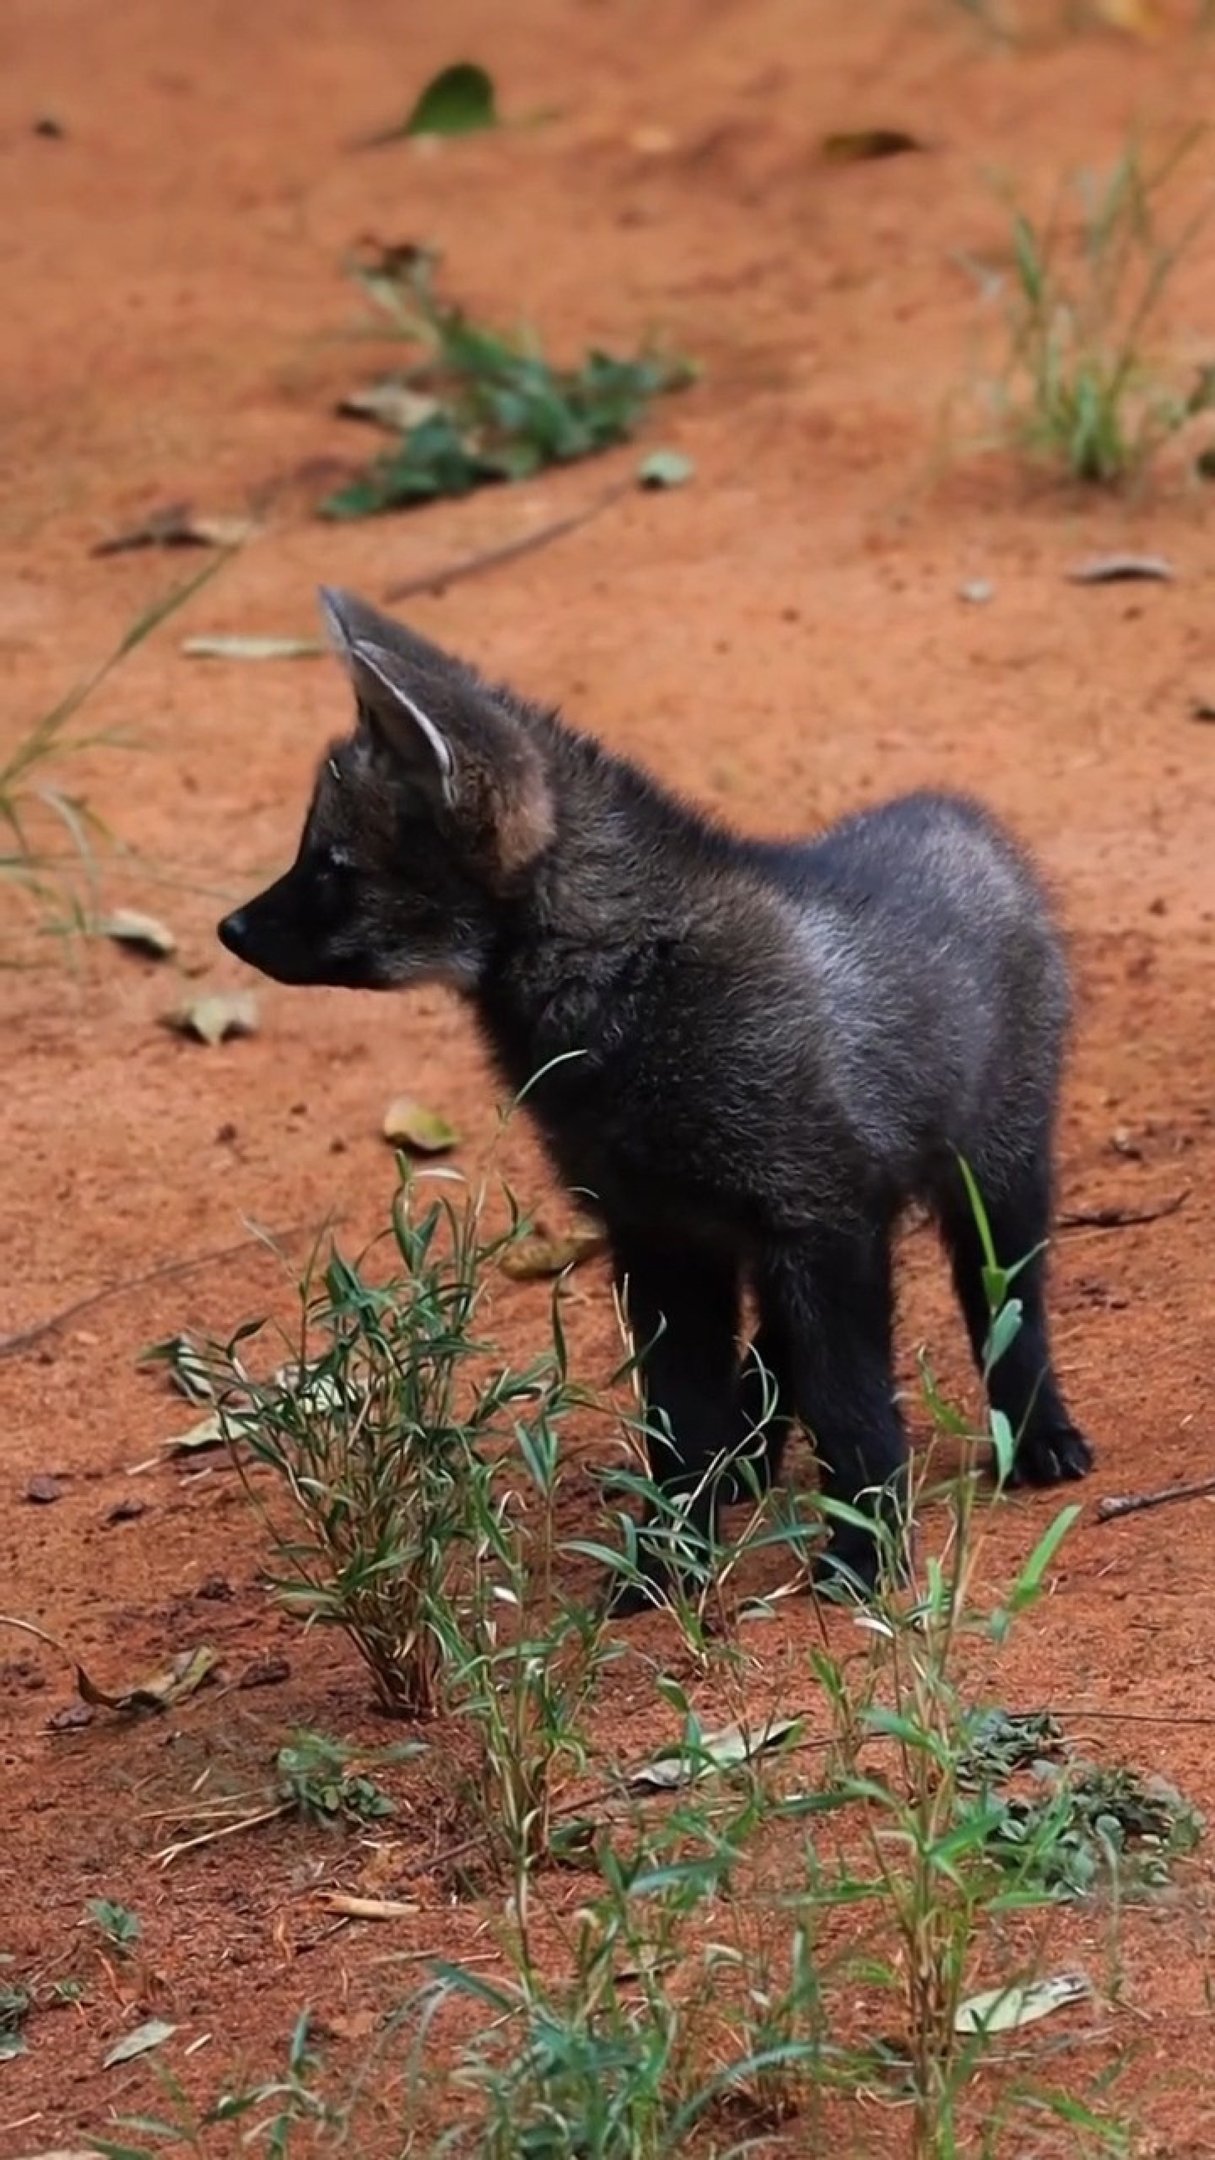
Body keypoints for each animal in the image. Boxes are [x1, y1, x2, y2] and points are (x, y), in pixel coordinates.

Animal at [218, 587, 1093, 1606]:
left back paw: (1035, 1436)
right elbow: (681, 1423)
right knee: (781, 1353)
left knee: (1006, 1308)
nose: (229, 928)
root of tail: (958, 816)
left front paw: (860, 1556)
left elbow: (851, 1410)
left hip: (992, 1182)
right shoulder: (667, 1237)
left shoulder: (813, 1221)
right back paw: (751, 1461)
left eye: (331, 866)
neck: (637, 983)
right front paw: (666, 1562)